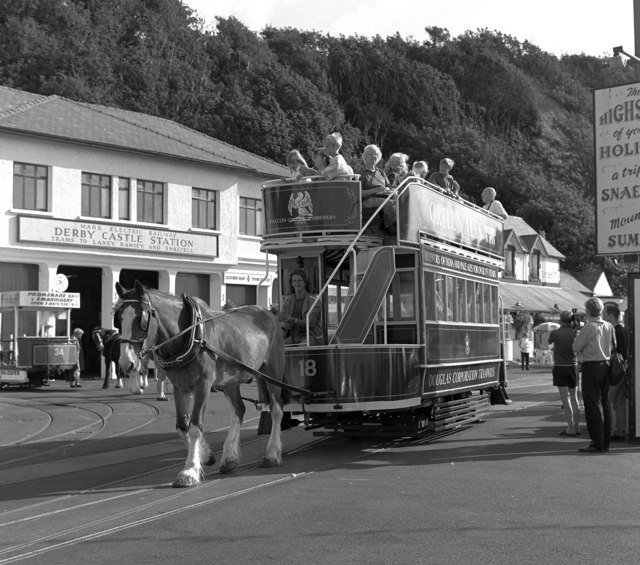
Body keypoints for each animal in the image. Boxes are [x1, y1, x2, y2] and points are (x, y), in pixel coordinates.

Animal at [114, 280, 288, 486]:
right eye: (119, 318)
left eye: (141, 318)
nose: (126, 363)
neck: (190, 336)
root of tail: (268, 313)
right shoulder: (180, 386)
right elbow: (182, 426)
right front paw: (205, 456)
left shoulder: (203, 385)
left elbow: (195, 426)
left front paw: (189, 471)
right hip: (230, 380)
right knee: (239, 410)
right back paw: (229, 458)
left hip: (272, 372)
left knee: (277, 410)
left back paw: (271, 454)